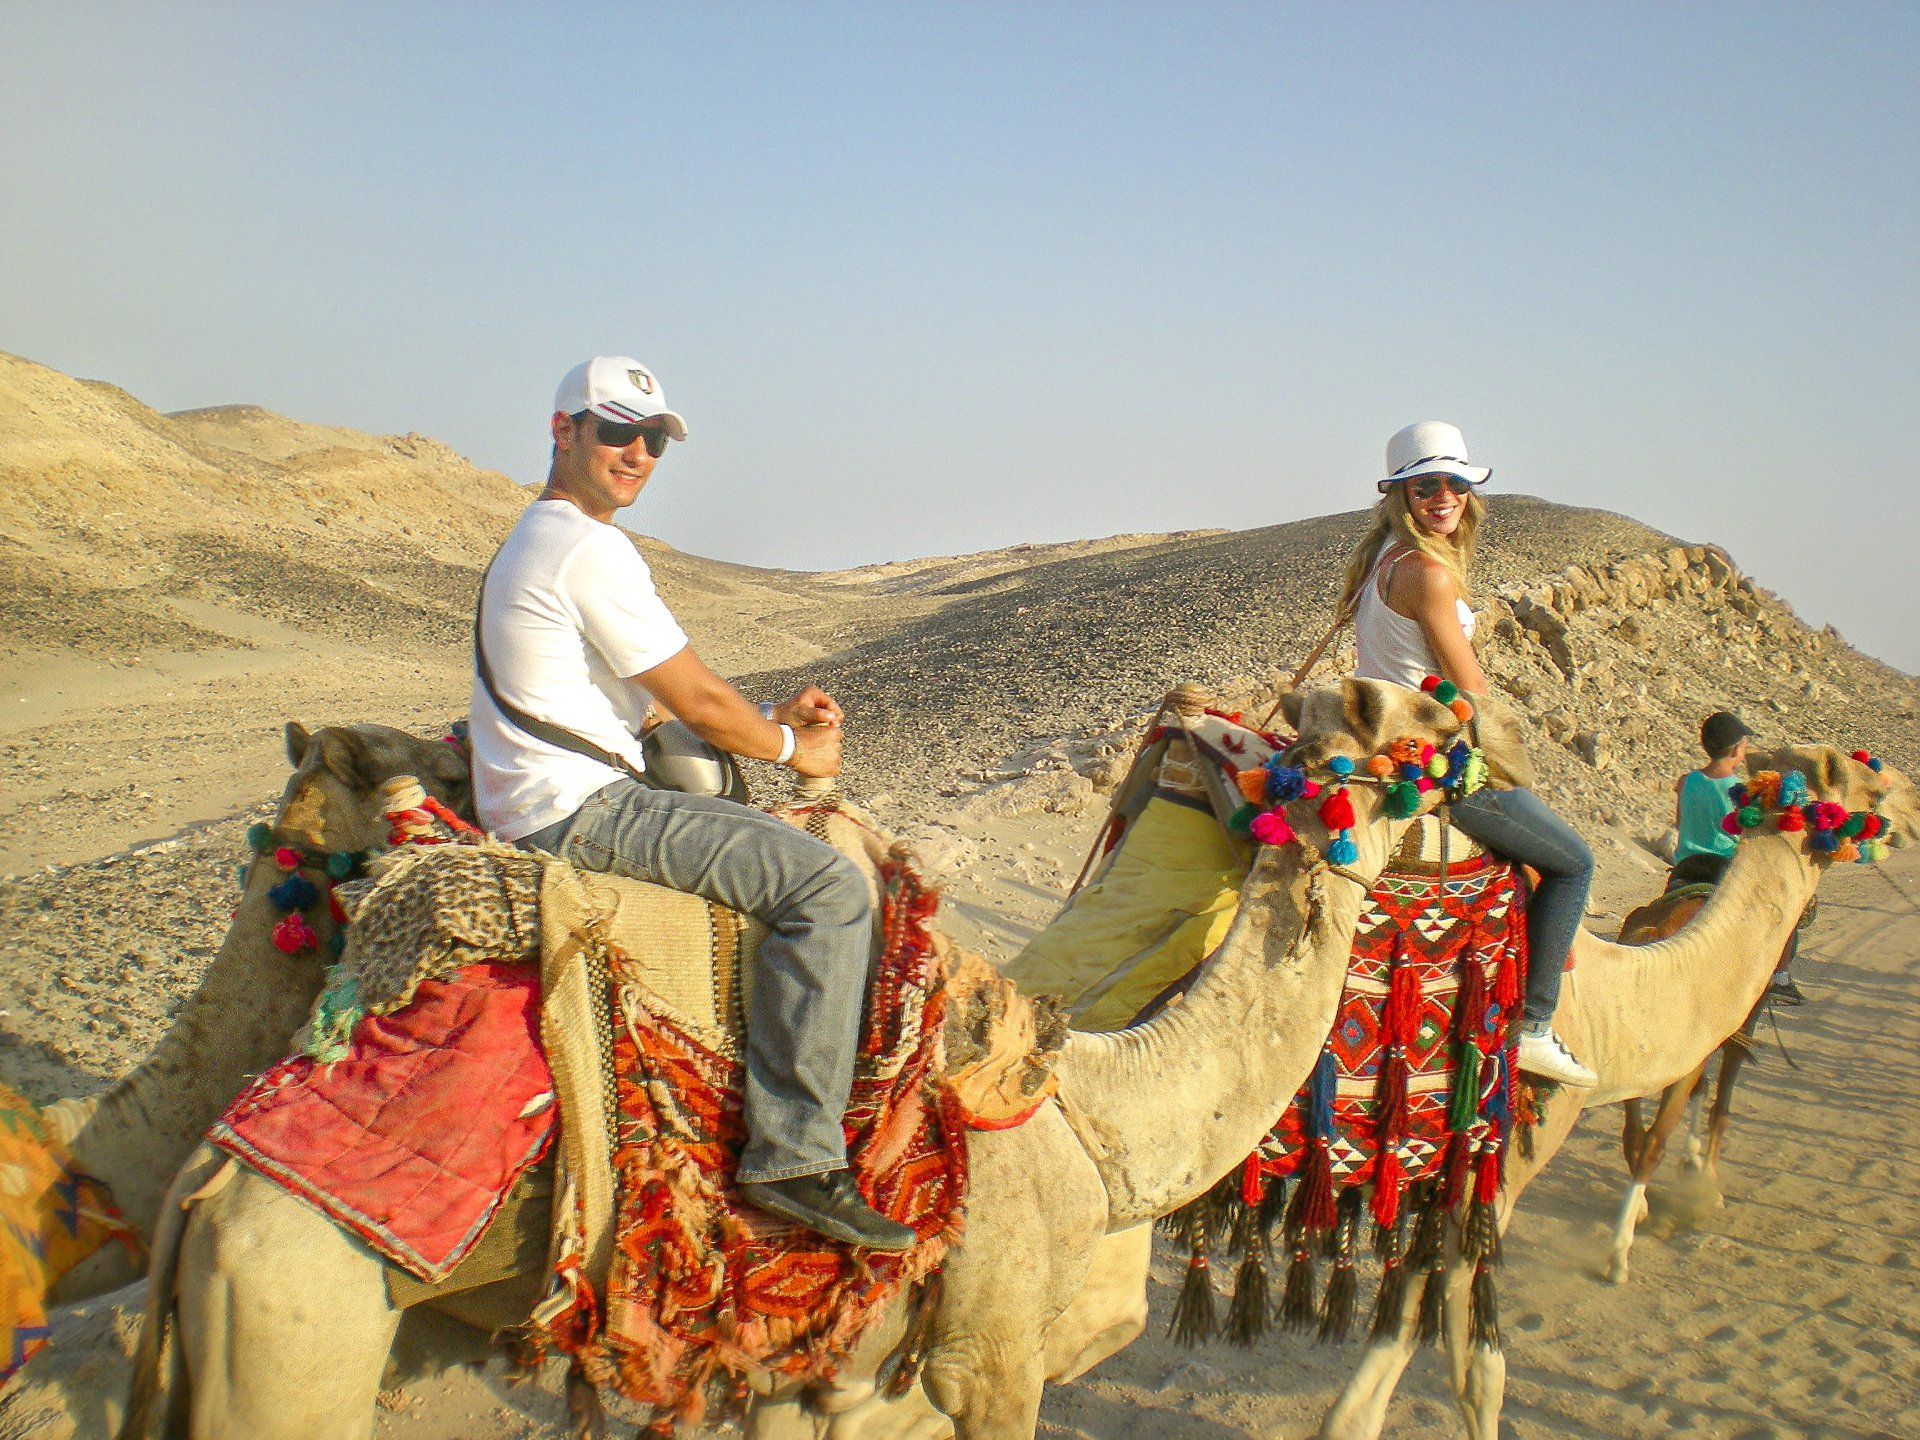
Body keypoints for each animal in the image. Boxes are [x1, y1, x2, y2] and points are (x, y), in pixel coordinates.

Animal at [120, 683, 1482, 1440]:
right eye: (1403, 730)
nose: (1467, 723)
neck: (1089, 1118)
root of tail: (204, 1196)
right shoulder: (989, 1363)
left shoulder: (824, 1372)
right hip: (289, 1340)